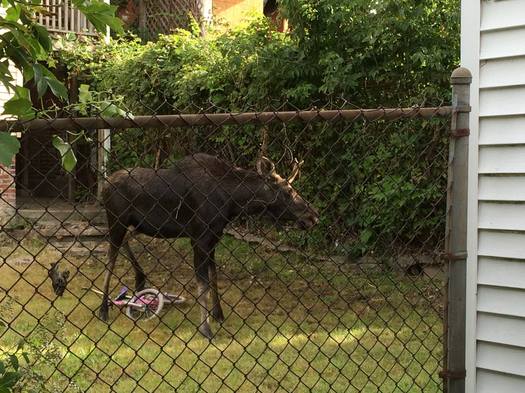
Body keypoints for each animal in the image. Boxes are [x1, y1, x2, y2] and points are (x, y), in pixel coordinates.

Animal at [99, 153, 320, 336]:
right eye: (288, 191)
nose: (313, 216)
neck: (233, 202)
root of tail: (104, 186)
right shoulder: (199, 238)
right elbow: (203, 284)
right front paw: (205, 328)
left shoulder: (214, 237)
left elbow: (214, 277)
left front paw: (218, 314)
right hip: (116, 220)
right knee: (110, 260)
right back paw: (103, 309)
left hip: (136, 225)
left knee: (124, 243)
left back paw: (140, 279)